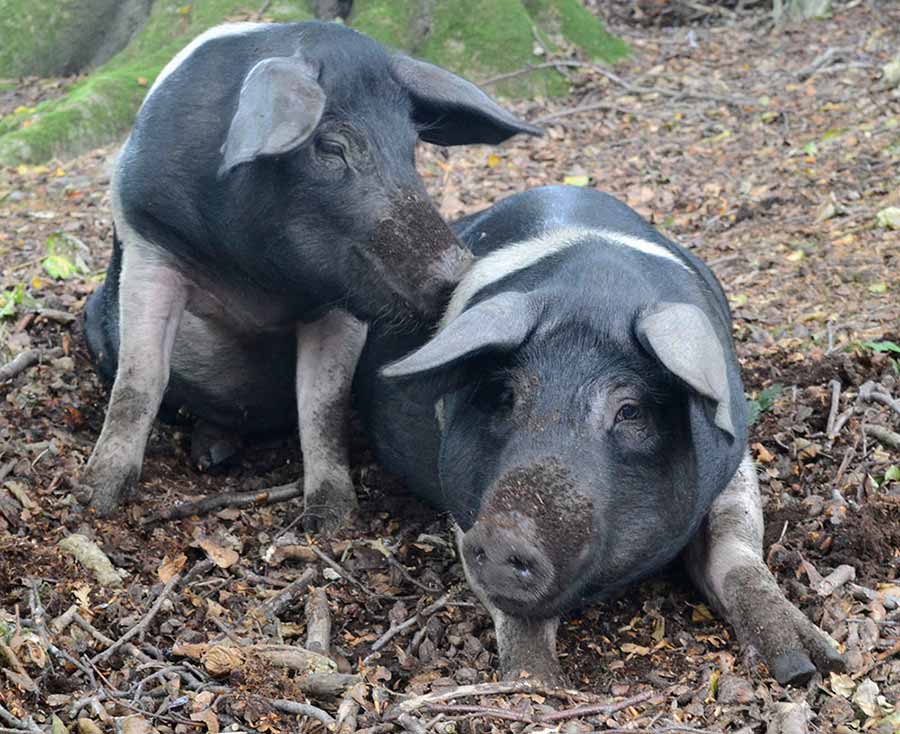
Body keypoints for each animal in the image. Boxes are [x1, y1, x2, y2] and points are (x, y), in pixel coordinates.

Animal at [79, 17, 540, 528]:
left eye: (411, 149)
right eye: (332, 146)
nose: (457, 272)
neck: (255, 284)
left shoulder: (342, 304)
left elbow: (324, 402)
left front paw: (333, 518)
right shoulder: (149, 243)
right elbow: (140, 378)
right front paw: (95, 498)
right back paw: (209, 458)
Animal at [356, 185, 844, 688]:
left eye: (629, 410)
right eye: (507, 396)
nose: (504, 533)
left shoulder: (735, 462)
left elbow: (737, 549)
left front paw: (814, 665)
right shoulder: (463, 508)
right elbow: (517, 615)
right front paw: (540, 685)